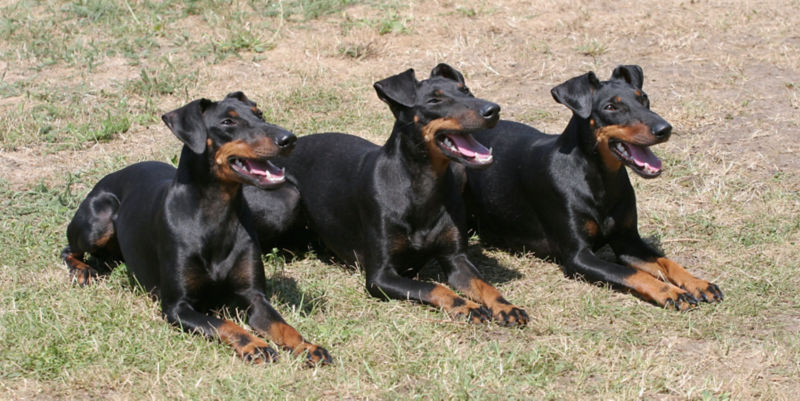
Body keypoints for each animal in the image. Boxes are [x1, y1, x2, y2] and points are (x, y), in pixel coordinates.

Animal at [61, 91, 332, 362]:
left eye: (260, 114)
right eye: (227, 122)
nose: (288, 138)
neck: (216, 213)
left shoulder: (254, 296)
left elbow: (281, 325)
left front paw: (308, 346)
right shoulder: (176, 307)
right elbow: (223, 323)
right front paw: (255, 345)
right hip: (99, 220)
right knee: (68, 250)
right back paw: (83, 271)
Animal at [247, 63, 528, 324]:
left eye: (466, 91)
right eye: (434, 101)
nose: (493, 110)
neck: (422, 186)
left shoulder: (456, 259)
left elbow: (484, 284)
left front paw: (506, 306)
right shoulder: (380, 277)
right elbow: (434, 287)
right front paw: (466, 306)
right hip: (287, 201)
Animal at [466, 65, 720, 310]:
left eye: (644, 98)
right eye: (610, 107)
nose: (665, 129)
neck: (601, 179)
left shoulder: (628, 240)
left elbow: (666, 262)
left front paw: (698, 283)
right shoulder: (578, 257)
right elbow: (632, 273)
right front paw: (670, 292)